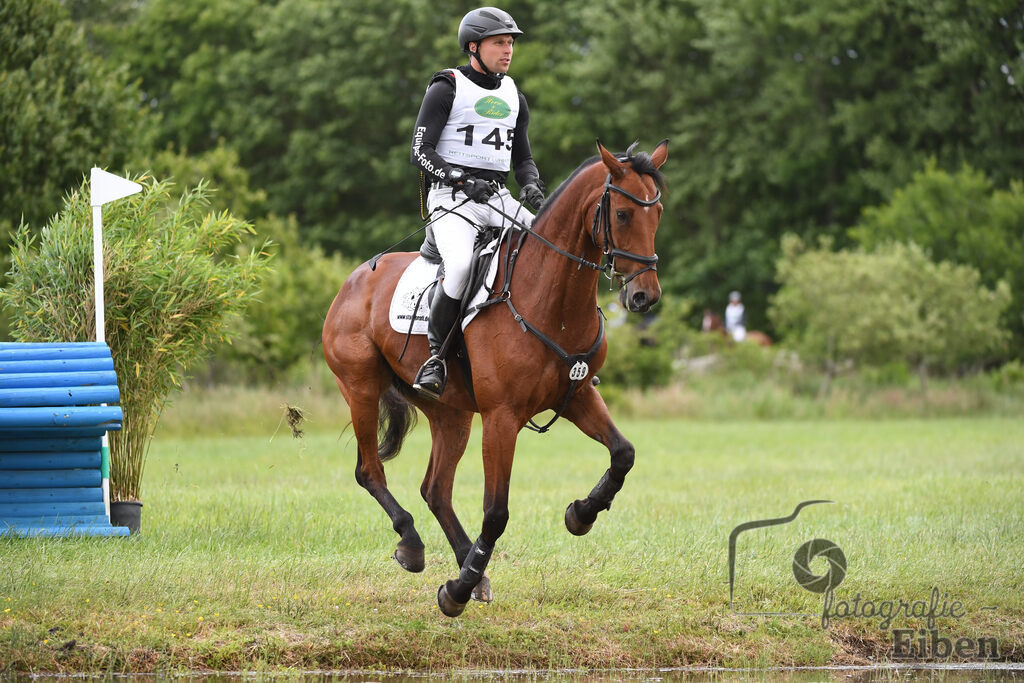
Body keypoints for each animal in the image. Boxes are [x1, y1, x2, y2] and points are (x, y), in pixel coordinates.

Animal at [322, 140, 668, 617]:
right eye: (621, 214)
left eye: (658, 213)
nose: (644, 296)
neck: (550, 299)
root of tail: (352, 281)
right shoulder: (502, 418)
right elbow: (496, 512)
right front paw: (456, 591)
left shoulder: (577, 394)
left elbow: (623, 454)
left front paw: (581, 514)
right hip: (361, 389)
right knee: (370, 472)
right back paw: (414, 545)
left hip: (451, 414)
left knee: (435, 489)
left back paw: (470, 567)